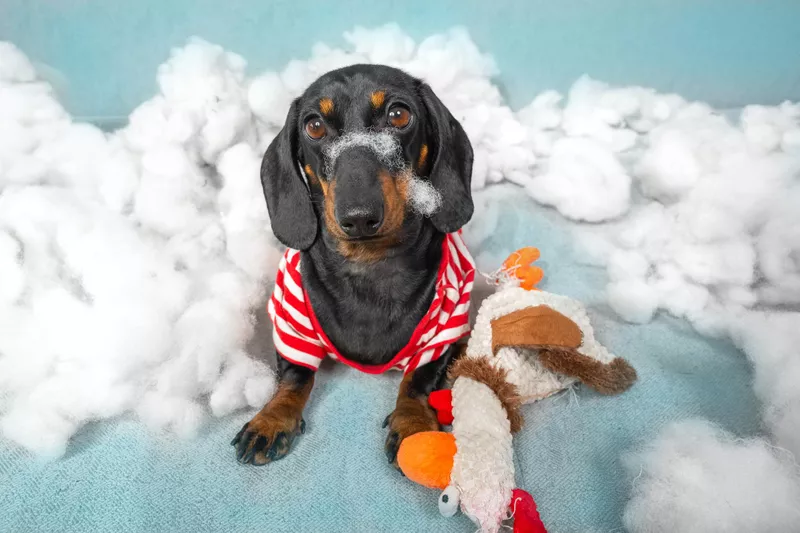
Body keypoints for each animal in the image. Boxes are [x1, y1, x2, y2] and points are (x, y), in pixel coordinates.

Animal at [230, 65, 476, 466]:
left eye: (398, 114)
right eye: (314, 125)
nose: (359, 217)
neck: (368, 264)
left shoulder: (445, 330)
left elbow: (418, 379)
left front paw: (413, 424)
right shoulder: (291, 323)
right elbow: (295, 377)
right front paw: (271, 419)